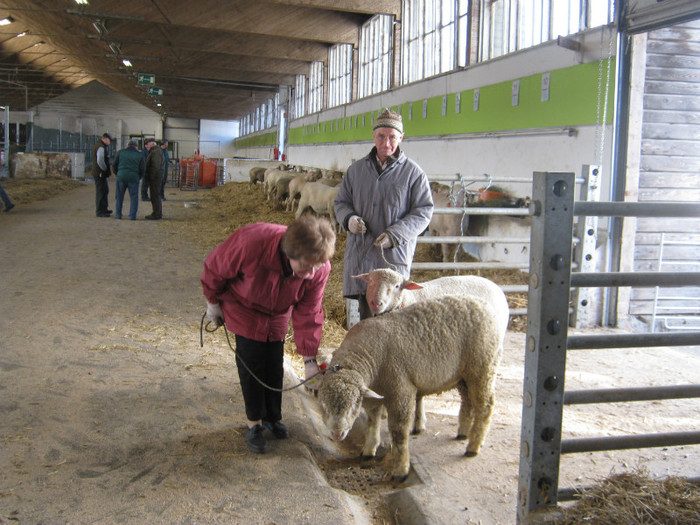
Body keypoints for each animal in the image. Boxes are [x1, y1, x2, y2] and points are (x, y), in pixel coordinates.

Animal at [318, 292, 504, 482]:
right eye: (323, 404)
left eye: (355, 404)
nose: (337, 434)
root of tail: (484, 305)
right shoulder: (374, 394)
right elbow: (372, 421)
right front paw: (369, 450)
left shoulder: (400, 389)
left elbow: (398, 433)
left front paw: (400, 470)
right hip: (463, 374)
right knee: (467, 400)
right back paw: (463, 433)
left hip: (483, 366)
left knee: (485, 406)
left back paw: (473, 446)